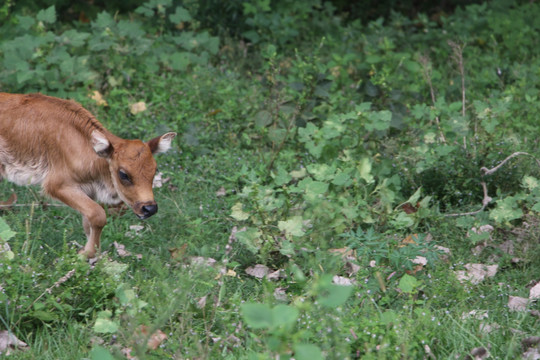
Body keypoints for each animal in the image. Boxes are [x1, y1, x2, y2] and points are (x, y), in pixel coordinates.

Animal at [0, 93, 175, 256]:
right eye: (123, 174)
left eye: (154, 170)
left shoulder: (87, 190)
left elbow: (89, 221)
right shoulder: (56, 185)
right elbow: (98, 215)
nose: (149, 209)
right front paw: (85, 254)